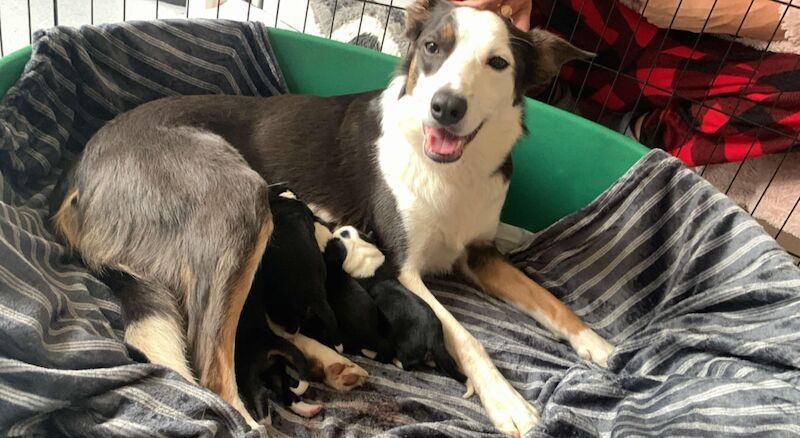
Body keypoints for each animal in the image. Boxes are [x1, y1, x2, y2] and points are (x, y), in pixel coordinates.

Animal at [51, 2, 612, 434]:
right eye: (433, 48)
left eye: (497, 62)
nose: (445, 107)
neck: (453, 169)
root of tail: (76, 175)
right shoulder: (404, 268)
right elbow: (468, 336)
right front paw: (510, 405)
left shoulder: (479, 253)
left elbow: (550, 301)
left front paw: (599, 346)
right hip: (240, 200)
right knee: (209, 357)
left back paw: (329, 361)